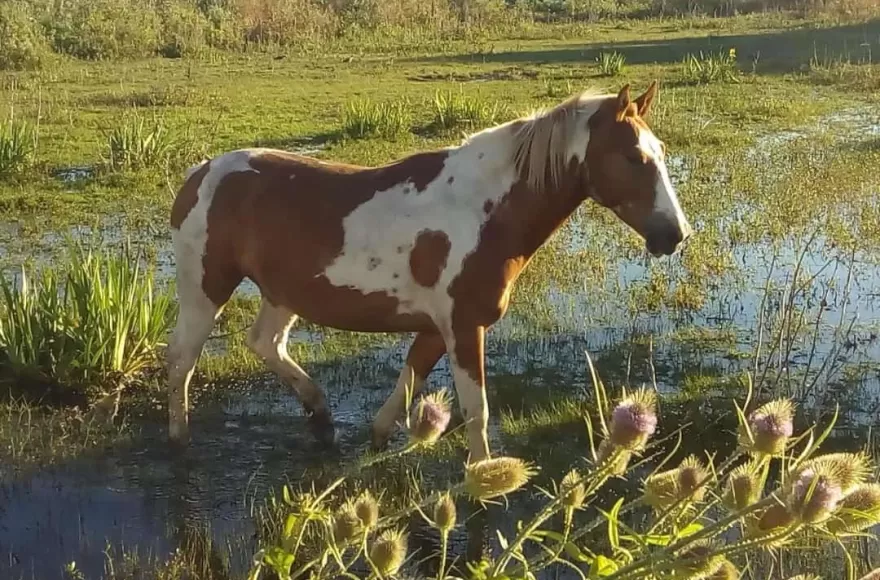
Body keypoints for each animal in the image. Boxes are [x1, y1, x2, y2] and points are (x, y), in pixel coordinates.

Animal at [163, 80, 688, 462]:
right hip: (207, 288)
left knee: (265, 344)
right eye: (635, 158)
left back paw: (321, 418)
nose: (676, 233)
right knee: (183, 360)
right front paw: (482, 478)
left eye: (661, 152)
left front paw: (377, 437)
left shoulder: (438, 328)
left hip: (283, 294)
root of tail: (200, 173)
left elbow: (408, 382)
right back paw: (180, 440)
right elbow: (475, 410)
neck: (483, 211)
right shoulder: (463, 326)